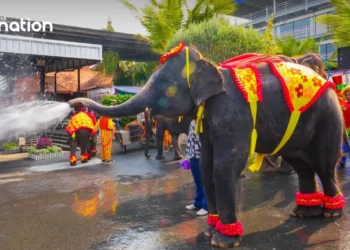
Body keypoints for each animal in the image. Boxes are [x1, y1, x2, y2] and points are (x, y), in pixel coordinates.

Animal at [69, 47, 348, 248]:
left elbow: (224, 166)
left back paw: (331, 214)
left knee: (323, 164)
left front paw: (224, 241)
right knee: (301, 164)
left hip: (329, 115)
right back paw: (304, 212)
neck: (212, 66)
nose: (73, 103)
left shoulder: (231, 114)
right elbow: (205, 165)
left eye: (164, 84)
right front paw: (209, 233)